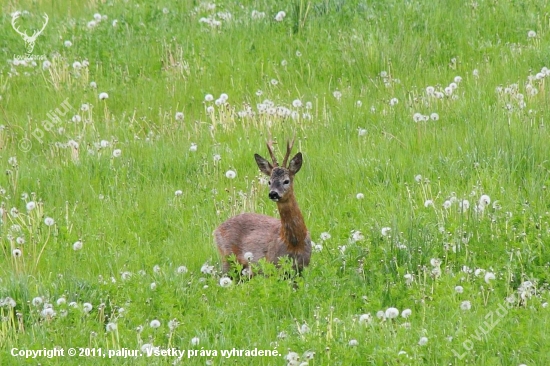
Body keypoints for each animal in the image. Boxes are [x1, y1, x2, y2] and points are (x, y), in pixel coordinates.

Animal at [215, 138, 312, 274]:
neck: (294, 243)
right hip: (228, 258)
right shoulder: (273, 264)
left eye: (286, 181)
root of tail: (217, 229)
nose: (273, 193)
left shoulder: (304, 266)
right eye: (269, 181)